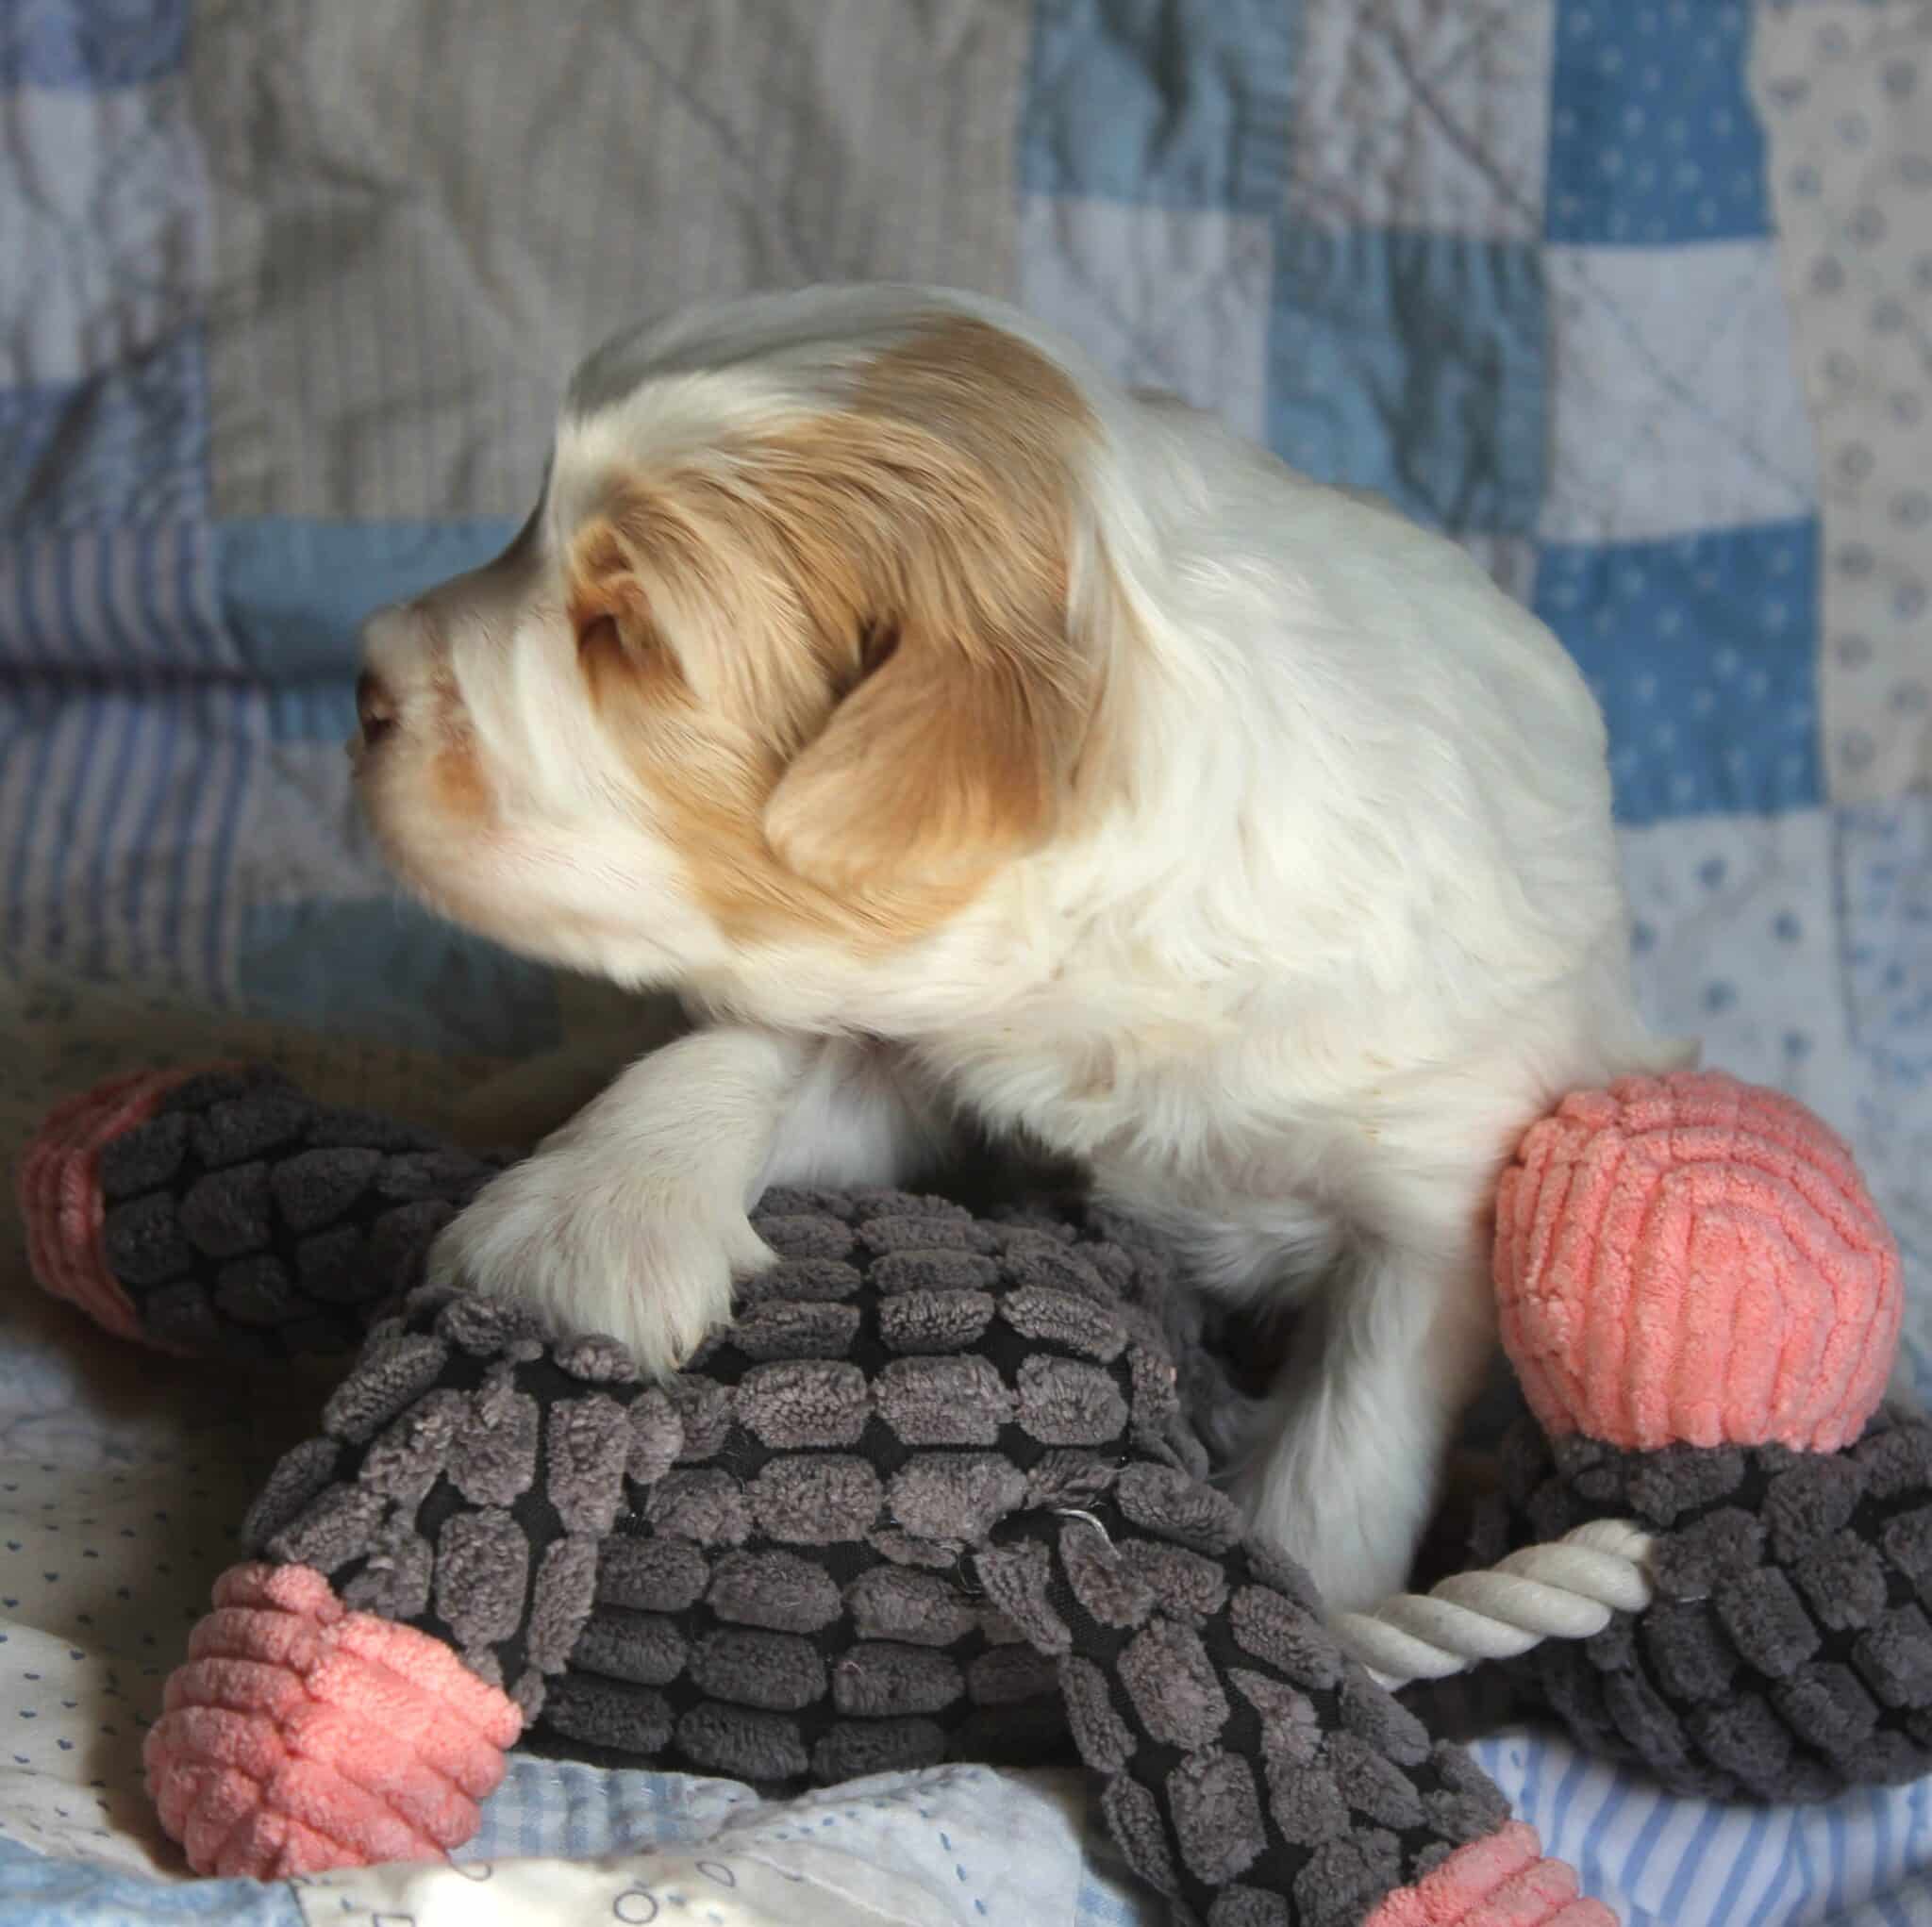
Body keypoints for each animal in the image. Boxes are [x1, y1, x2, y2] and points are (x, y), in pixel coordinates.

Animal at [351, 284, 1687, 1611]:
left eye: (625, 634)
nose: (359, 682)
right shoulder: (920, 1035)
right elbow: (741, 1049)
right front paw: (586, 1225)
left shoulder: (1431, 1198)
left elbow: (1346, 1446)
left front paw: (1320, 1607)